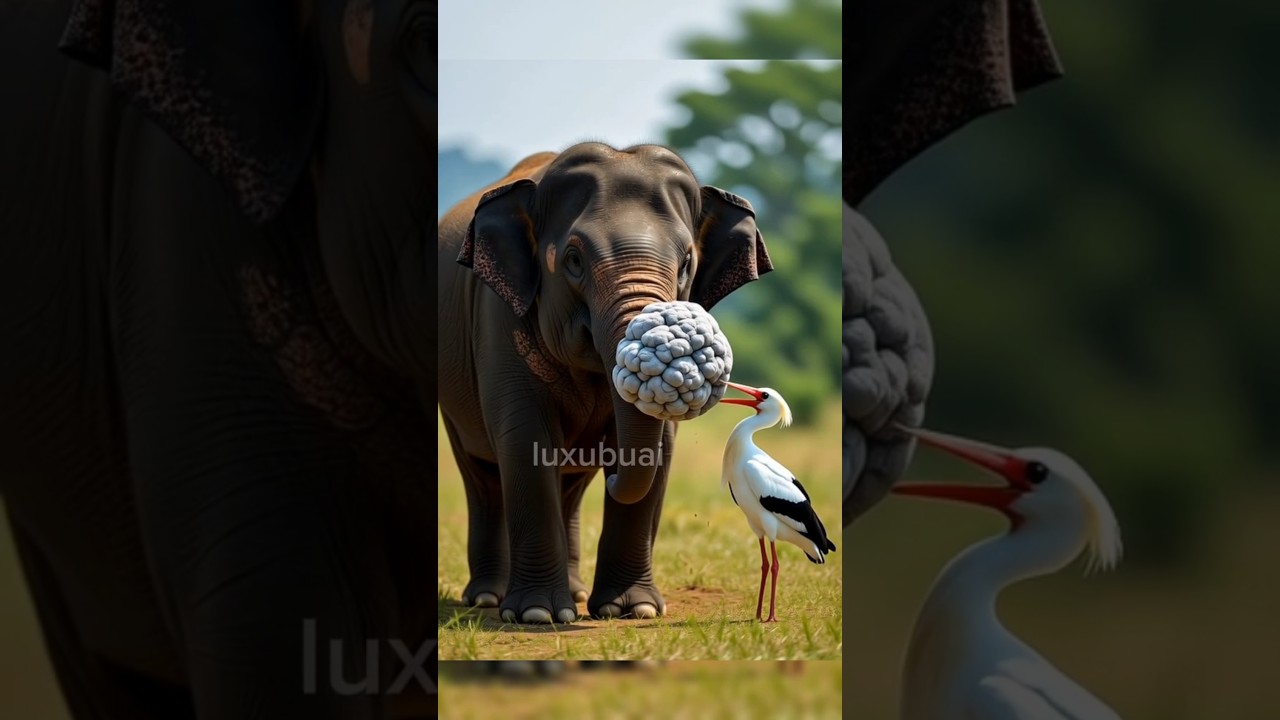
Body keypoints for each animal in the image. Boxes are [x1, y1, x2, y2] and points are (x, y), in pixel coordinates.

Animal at [437, 142, 773, 624]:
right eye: (574, 259)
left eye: (687, 262)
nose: (612, 474)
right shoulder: (497, 318)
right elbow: (524, 440)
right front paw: (537, 615)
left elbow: (660, 449)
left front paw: (633, 611)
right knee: (481, 475)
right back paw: (487, 598)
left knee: (570, 486)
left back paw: (575, 593)